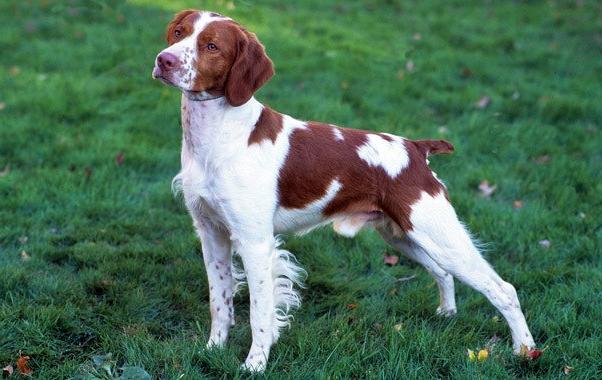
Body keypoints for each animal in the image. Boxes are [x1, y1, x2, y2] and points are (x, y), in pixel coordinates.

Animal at [151, 8, 536, 372]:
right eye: (179, 33)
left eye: (212, 46)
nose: (164, 60)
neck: (216, 136)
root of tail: (415, 148)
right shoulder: (211, 231)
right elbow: (220, 301)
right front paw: (212, 351)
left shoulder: (254, 241)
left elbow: (260, 313)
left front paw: (254, 365)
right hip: (403, 236)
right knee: (442, 272)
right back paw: (447, 314)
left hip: (439, 233)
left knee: (504, 289)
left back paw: (526, 350)